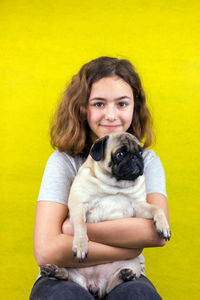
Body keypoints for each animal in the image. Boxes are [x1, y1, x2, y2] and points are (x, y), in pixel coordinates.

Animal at [40, 132, 170, 298]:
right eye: (120, 154)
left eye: (140, 152)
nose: (136, 158)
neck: (114, 186)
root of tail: (94, 285)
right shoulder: (78, 206)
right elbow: (81, 226)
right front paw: (81, 245)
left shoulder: (139, 206)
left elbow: (156, 209)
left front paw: (163, 226)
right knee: (68, 276)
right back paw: (54, 270)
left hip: (131, 263)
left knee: (110, 287)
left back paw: (125, 275)